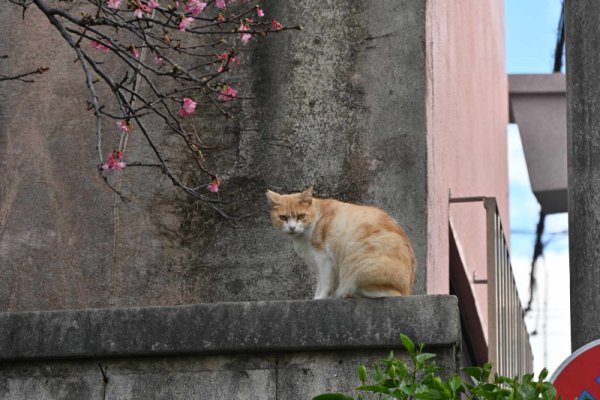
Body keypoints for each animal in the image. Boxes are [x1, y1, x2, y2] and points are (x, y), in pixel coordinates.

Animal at [268, 187, 418, 296]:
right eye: (283, 218)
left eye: (301, 216)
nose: (292, 227)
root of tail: (408, 291)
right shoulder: (316, 263)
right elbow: (320, 283)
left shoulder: (323, 259)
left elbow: (324, 285)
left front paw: (319, 298)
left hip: (356, 268)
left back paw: (343, 294)